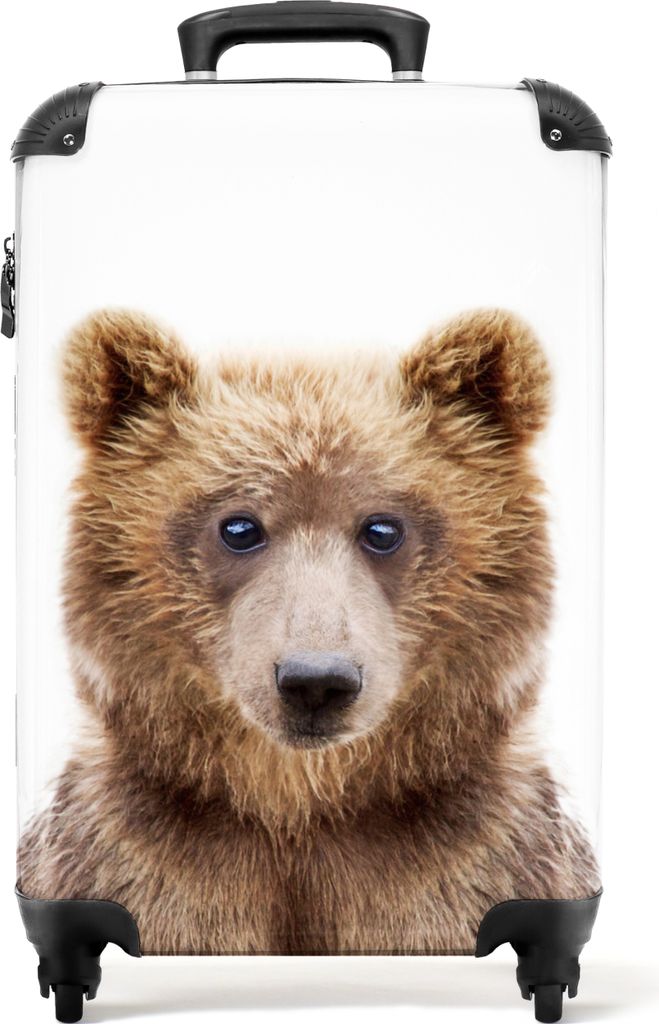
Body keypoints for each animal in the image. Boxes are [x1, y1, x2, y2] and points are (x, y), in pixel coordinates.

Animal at [18, 307, 600, 955]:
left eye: (382, 527)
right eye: (239, 526)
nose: (315, 681)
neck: (301, 808)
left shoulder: (477, 861)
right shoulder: (133, 862)